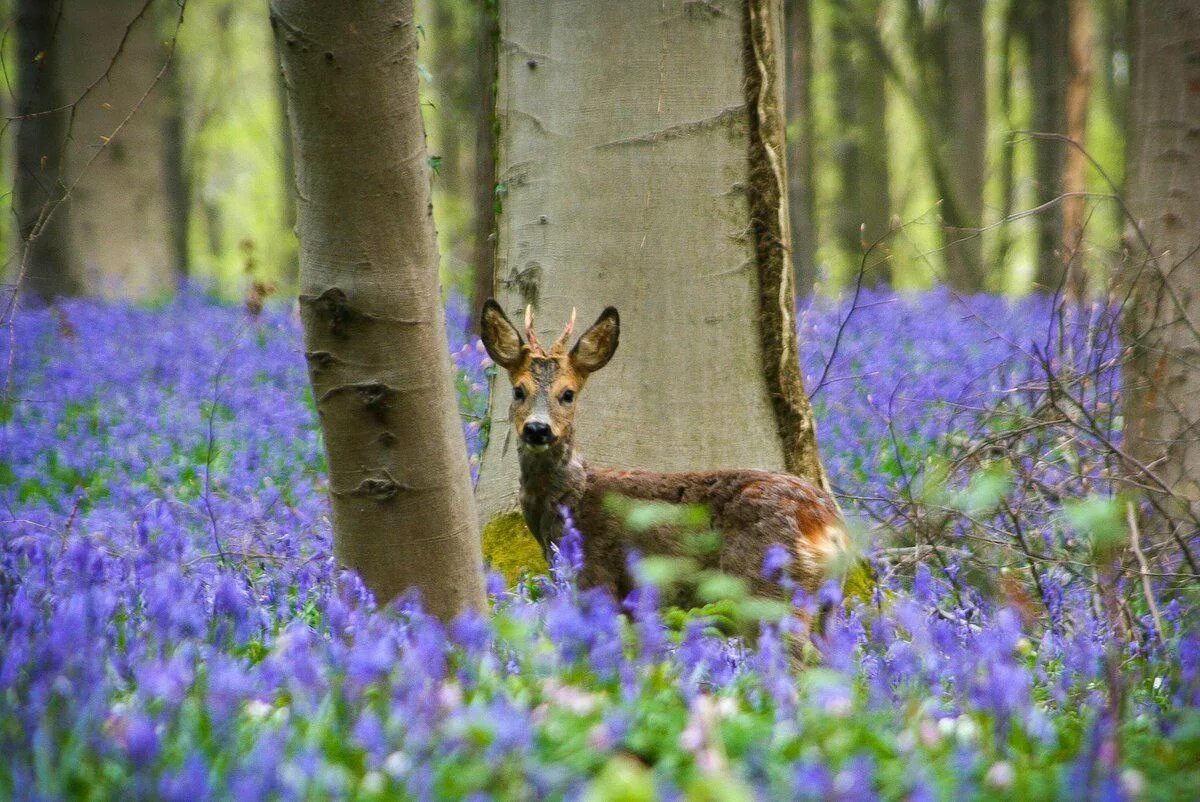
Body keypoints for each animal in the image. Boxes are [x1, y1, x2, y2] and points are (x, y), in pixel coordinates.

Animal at [480, 298, 854, 607]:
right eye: (518, 390)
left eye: (568, 394)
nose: (537, 429)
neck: (570, 498)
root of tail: (831, 526)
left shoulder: (596, 575)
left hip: (766, 583)